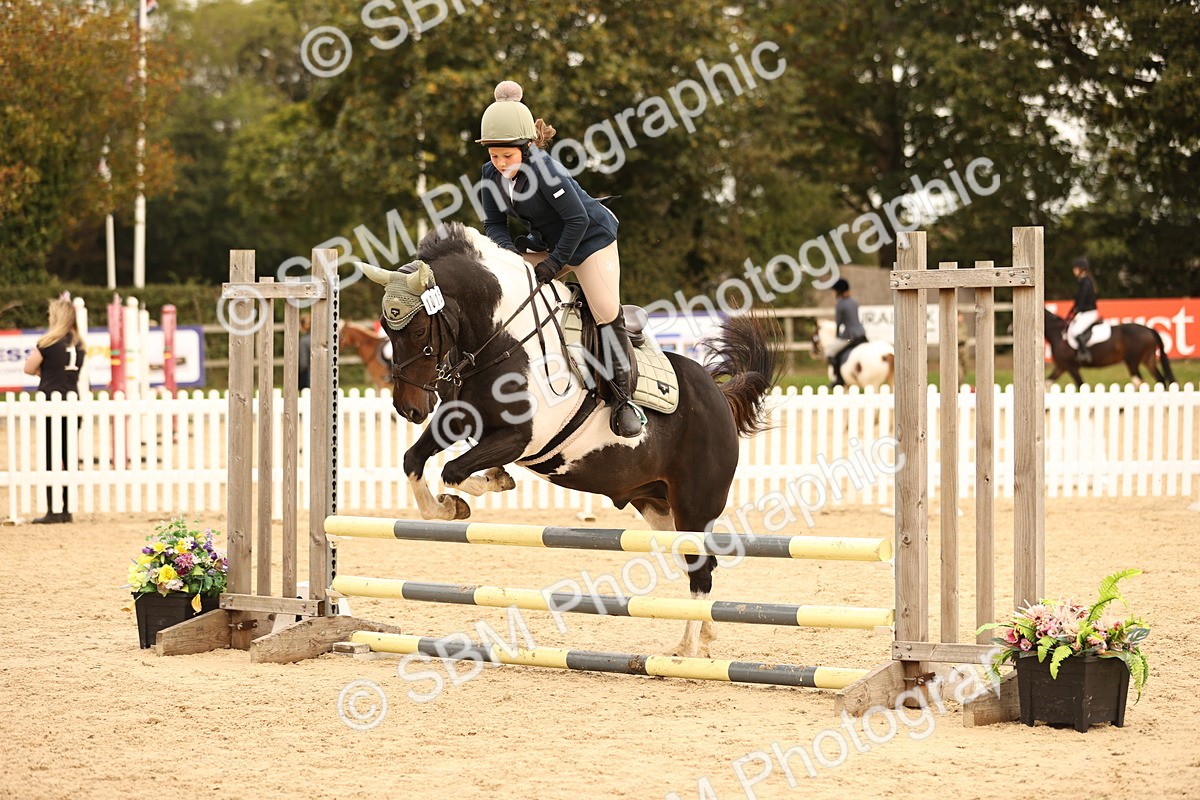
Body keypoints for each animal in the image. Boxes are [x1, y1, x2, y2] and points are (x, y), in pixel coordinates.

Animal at [355, 222, 778, 659]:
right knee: (696, 562)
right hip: (657, 503)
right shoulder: (457, 420)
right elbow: (414, 461)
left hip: (694, 503)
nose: (409, 409)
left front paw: (487, 483)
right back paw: (702, 637)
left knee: (701, 568)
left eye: (420, 329)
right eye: (386, 328)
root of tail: (720, 396)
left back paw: (688, 649)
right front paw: (452, 506)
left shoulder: (520, 438)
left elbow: (454, 470)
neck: (503, 339)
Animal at [1043, 309, 1175, 388]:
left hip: (1132, 362)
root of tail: (1148, 329)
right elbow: (1046, 383)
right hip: (1148, 359)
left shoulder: (1070, 366)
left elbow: (1081, 386)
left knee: (1139, 382)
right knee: (1160, 380)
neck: (1057, 333)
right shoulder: (1061, 366)